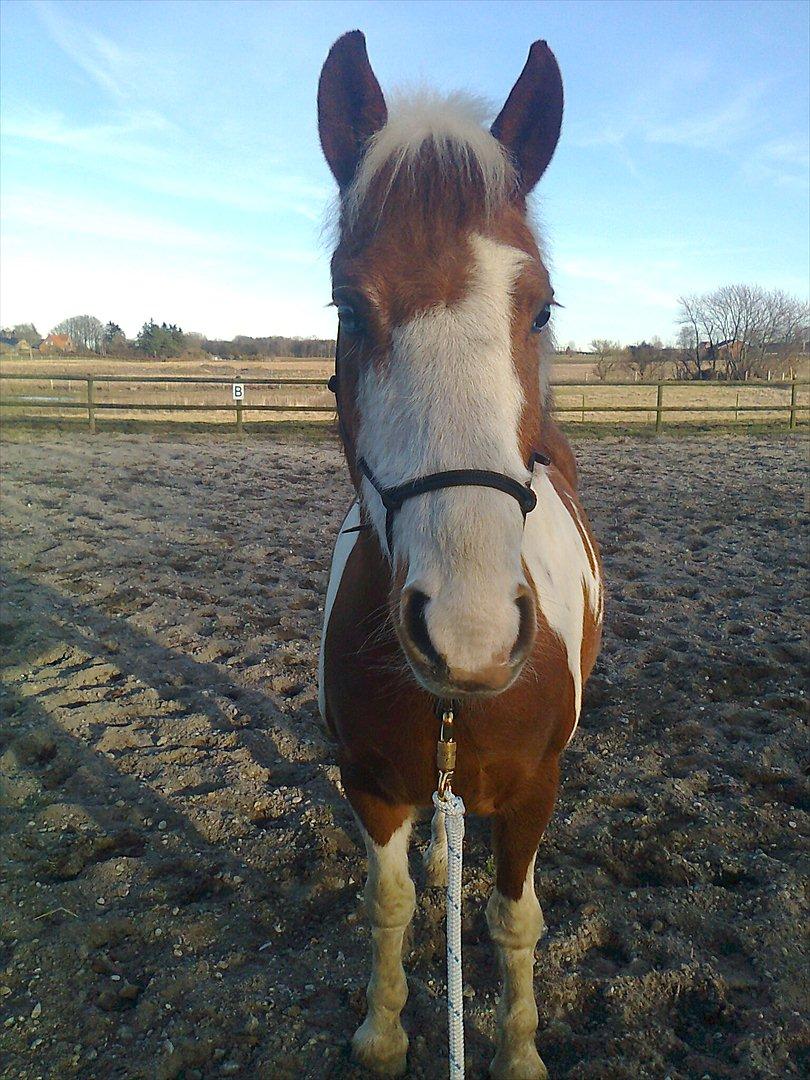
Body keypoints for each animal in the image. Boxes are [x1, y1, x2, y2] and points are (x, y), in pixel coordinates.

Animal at [317, 31, 603, 1079]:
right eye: (347, 306)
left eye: (542, 307)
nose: (468, 634)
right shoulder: (368, 782)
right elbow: (390, 903)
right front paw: (384, 1031)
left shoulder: (534, 795)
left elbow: (518, 922)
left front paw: (518, 1052)